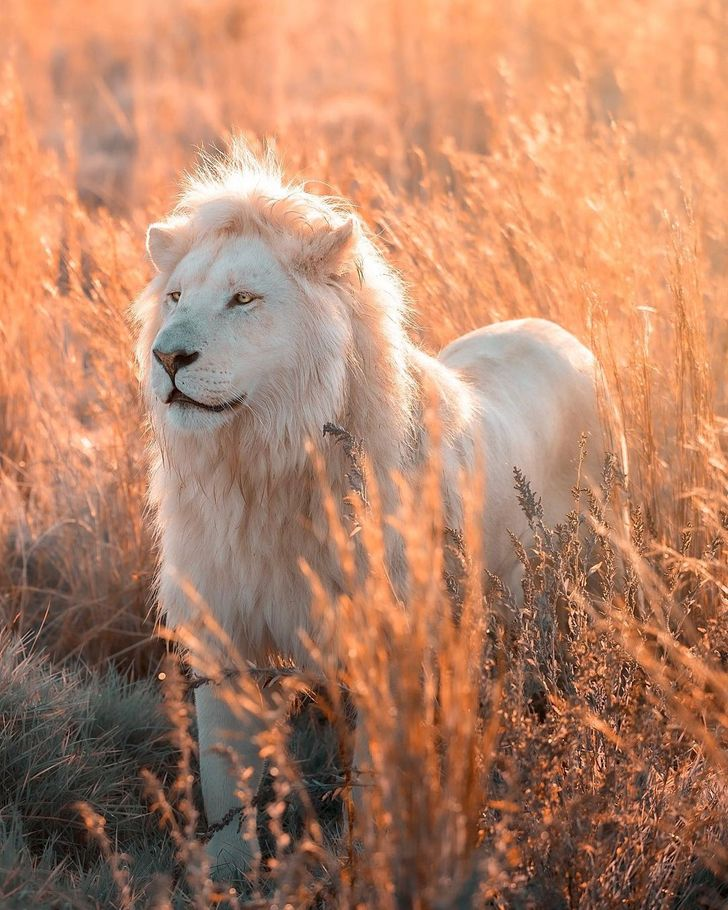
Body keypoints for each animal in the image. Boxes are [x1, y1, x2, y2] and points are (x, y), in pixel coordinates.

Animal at [135, 144, 616, 876]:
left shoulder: (389, 645)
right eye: (175, 298)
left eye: (244, 299)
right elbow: (224, 781)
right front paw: (225, 876)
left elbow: (373, 780)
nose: (168, 356)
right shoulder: (225, 635)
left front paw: (371, 864)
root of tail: (556, 331)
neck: (265, 471)